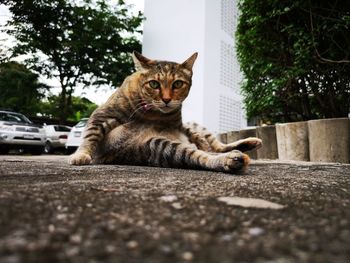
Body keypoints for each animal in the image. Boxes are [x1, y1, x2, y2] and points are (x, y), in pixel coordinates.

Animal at [69, 52, 262, 174]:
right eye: (154, 84)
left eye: (178, 84)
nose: (167, 99)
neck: (152, 113)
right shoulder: (102, 115)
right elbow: (89, 136)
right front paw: (81, 155)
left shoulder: (180, 124)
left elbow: (201, 140)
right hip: (160, 146)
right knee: (202, 155)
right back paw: (232, 159)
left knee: (215, 147)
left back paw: (249, 143)